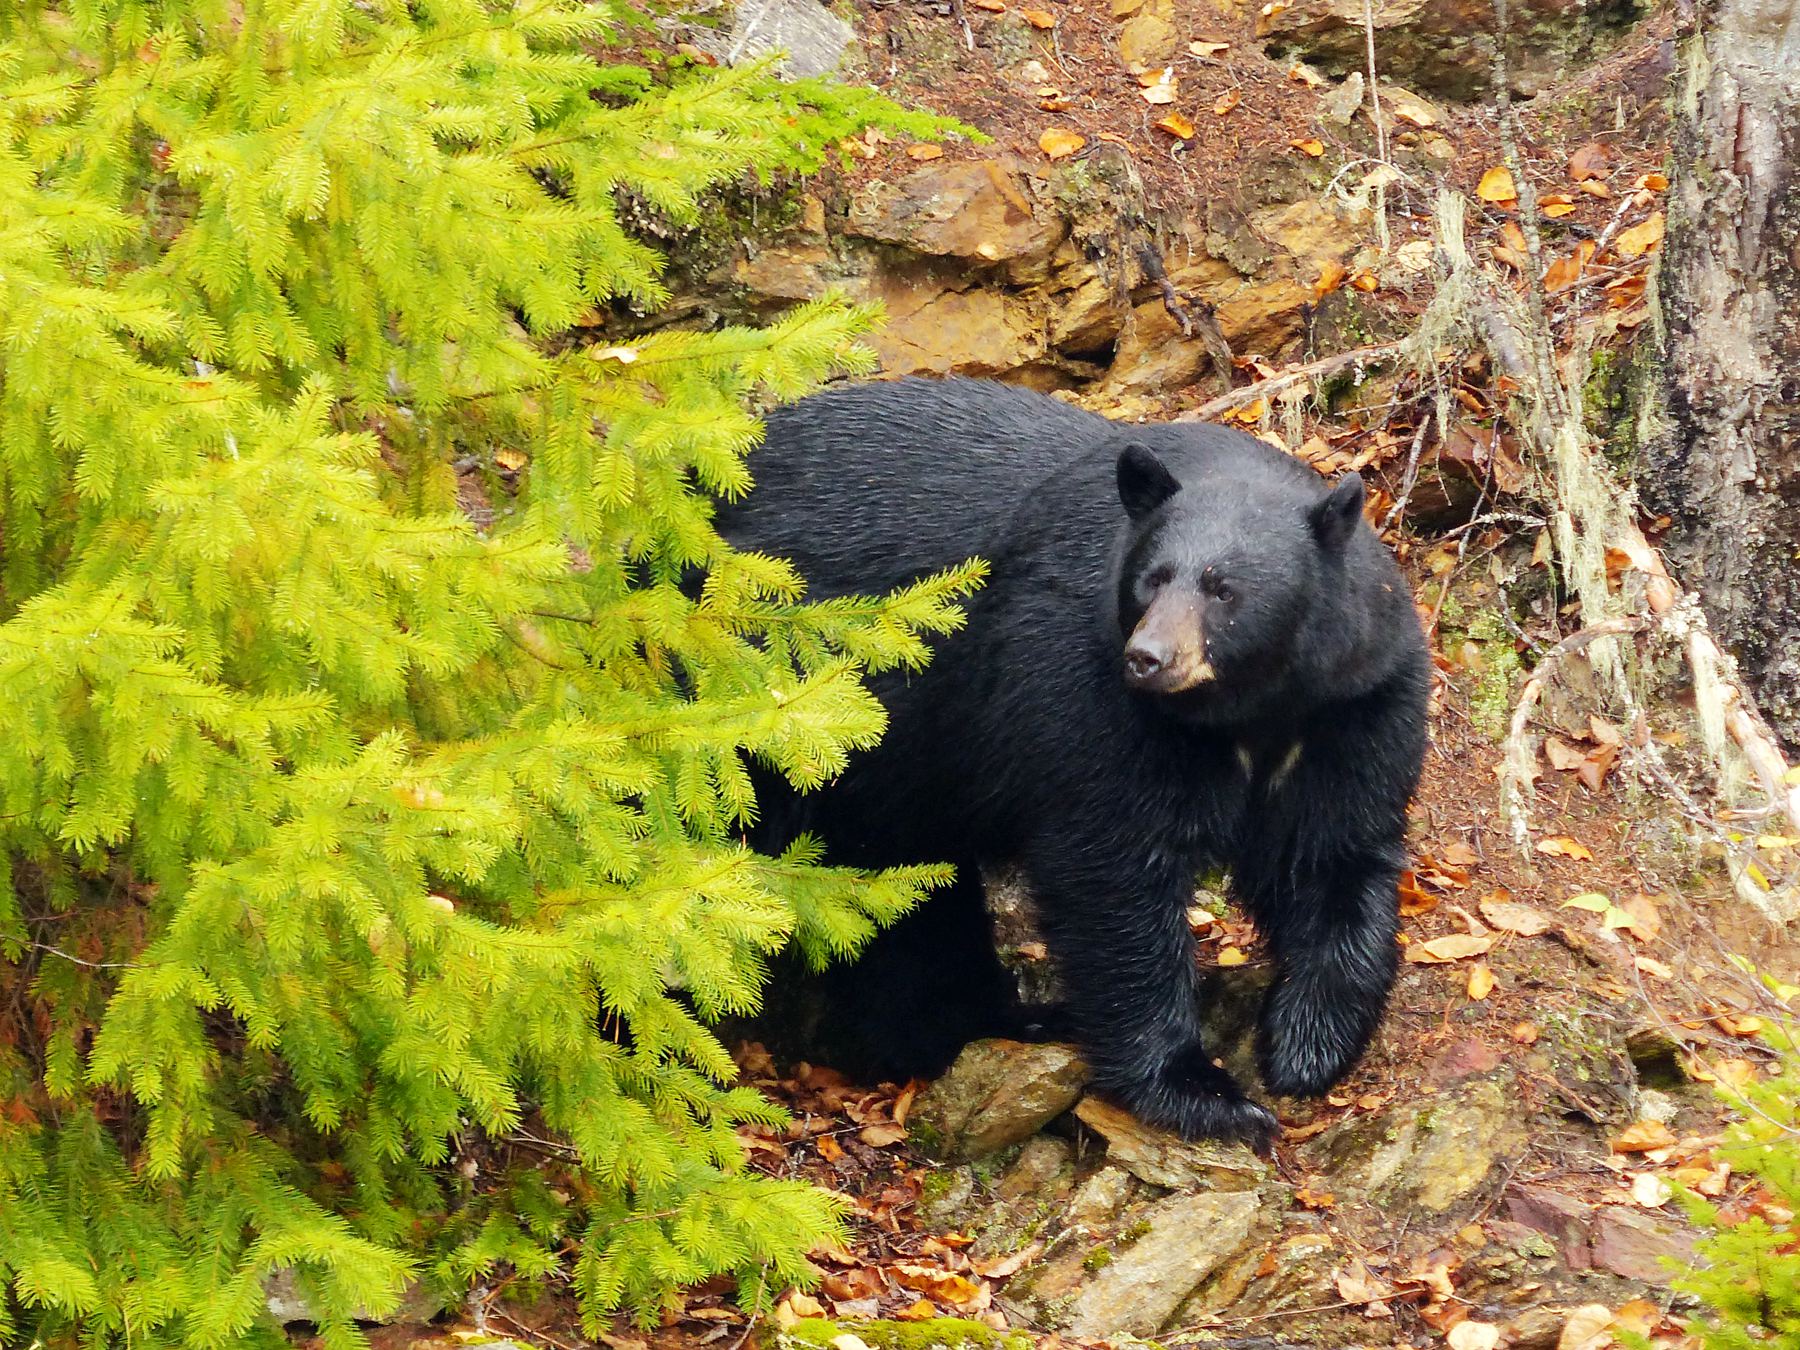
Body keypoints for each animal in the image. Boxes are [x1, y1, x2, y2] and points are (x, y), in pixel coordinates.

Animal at [709, 376, 1425, 1144]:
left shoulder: (1353, 705)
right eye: (1151, 579)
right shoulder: (1079, 686)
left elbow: (1335, 852)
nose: (1148, 658)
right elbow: (1113, 873)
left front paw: (1305, 1045)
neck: (1243, 712)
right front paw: (1202, 1092)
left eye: (1224, 588)